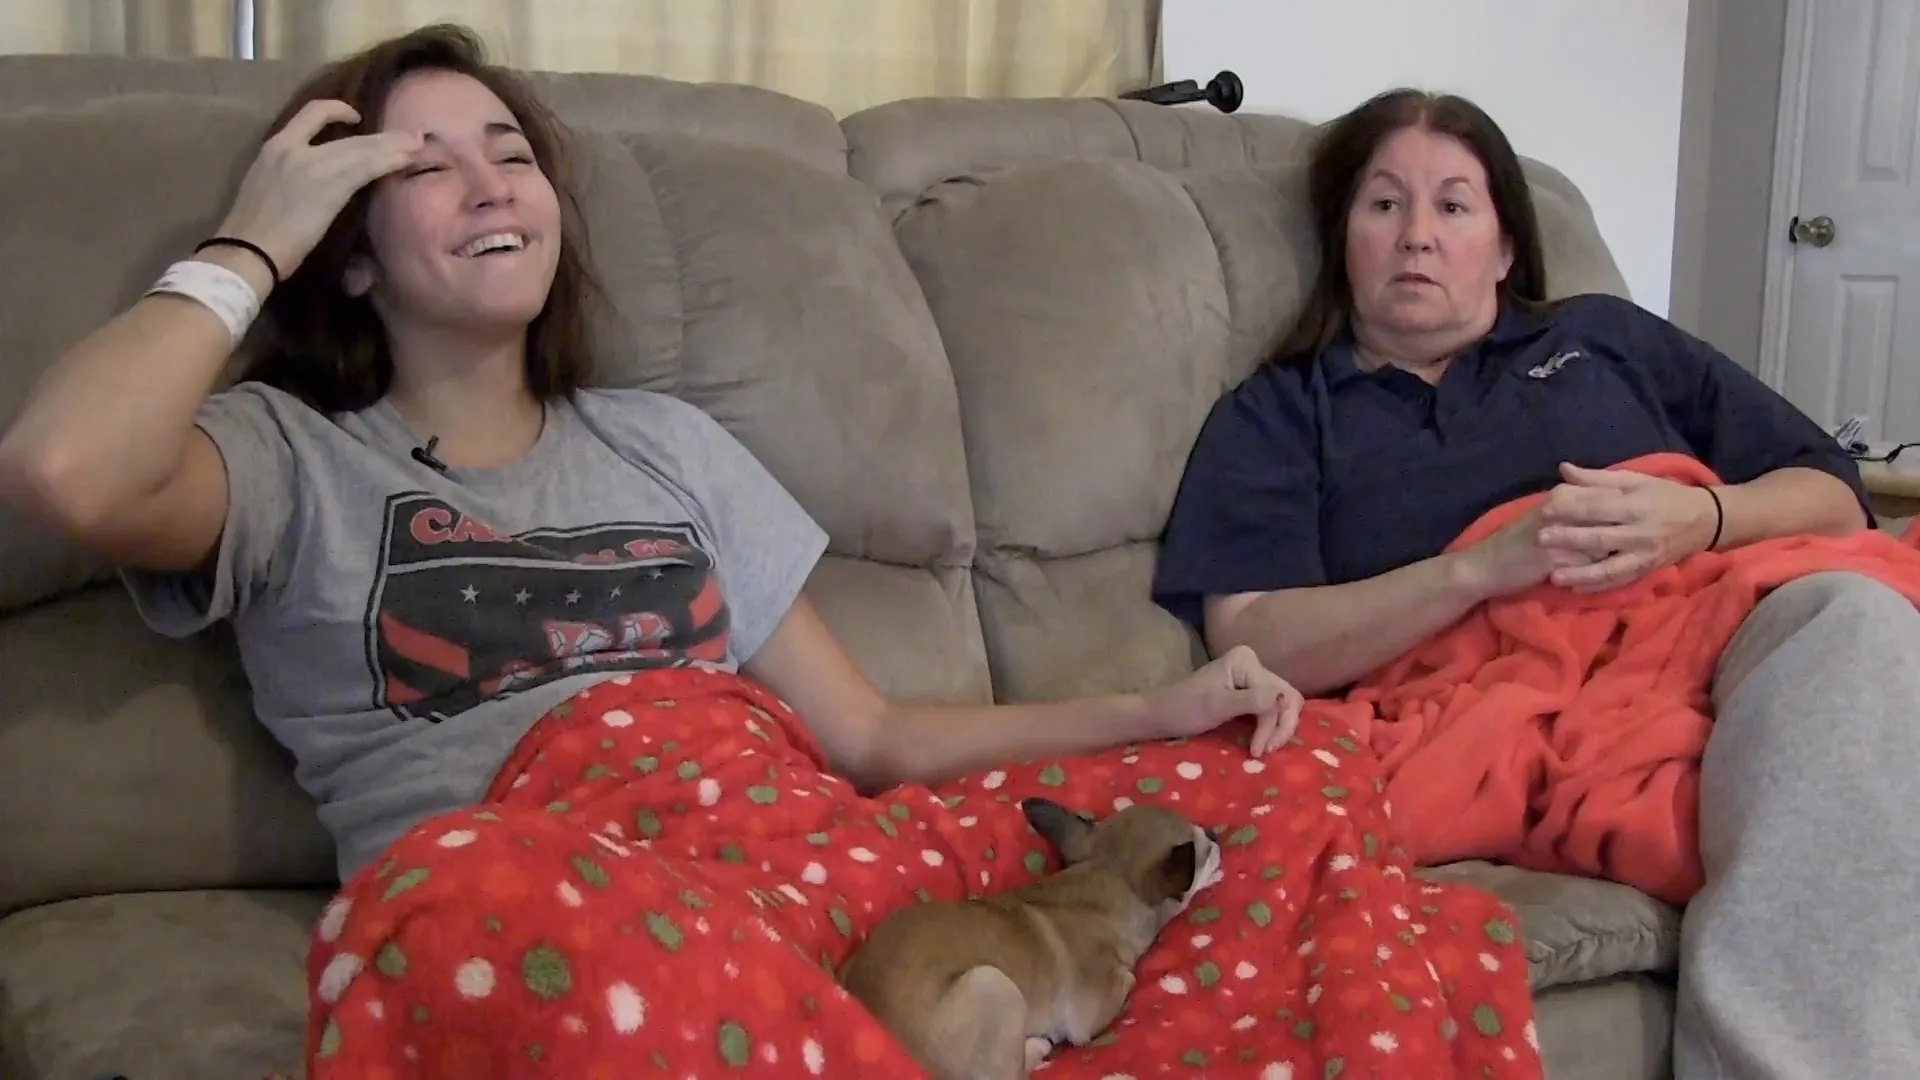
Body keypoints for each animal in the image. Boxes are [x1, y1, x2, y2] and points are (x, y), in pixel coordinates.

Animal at [838, 797, 1223, 1080]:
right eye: (1204, 850)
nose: (1216, 833)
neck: (1101, 880)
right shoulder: (1087, 1014)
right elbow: (1127, 977)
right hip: (991, 983)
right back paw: (1037, 1046)